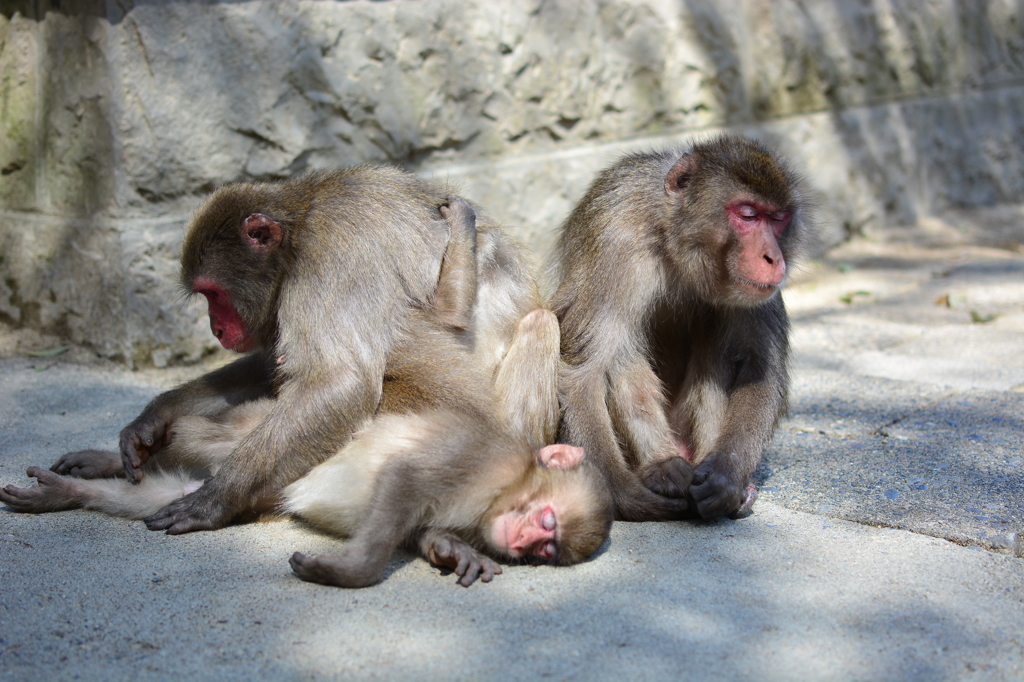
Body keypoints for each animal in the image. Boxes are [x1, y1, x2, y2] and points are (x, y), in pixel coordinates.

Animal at [552, 137, 806, 520]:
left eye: (778, 219)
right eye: (748, 215)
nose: (774, 259)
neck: (670, 234)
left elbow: (760, 369)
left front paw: (726, 476)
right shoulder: (614, 238)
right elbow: (586, 370)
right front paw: (625, 494)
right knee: (622, 350)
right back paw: (664, 468)